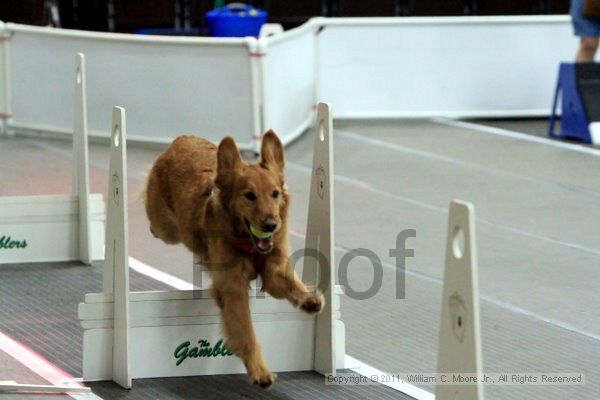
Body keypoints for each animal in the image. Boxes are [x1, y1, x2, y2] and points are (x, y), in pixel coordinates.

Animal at [143, 130, 324, 388]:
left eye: (275, 194)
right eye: (249, 196)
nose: (271, 225)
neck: (248, 243)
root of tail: (182, 138)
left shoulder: (274, 269)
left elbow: (290, 283)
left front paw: (309, 299)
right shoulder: (232, 287)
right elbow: (246, 332)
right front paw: (260, 371)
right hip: (166, 228)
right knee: (157, 227)